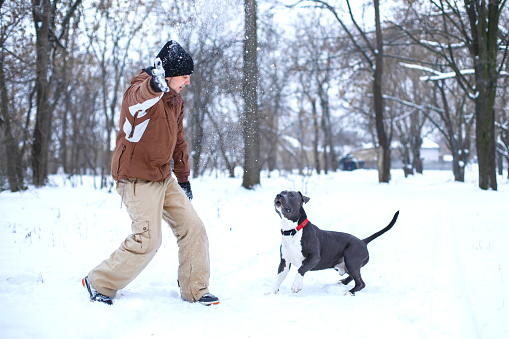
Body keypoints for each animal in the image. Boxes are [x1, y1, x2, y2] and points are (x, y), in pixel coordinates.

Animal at [266, 190, 396, 296]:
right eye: (281, 192)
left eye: (291, 195)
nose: (278, 195)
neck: (292, 231)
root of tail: (363, 241)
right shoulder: (284, 263)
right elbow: (278, 278)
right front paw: (271, 291)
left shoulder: (314, 257)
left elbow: (301, 269)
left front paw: (296, 285)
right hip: (347, 265)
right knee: (354, 277)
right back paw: (343, 282)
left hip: (351, 259)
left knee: (361, 283)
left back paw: (350, 292)